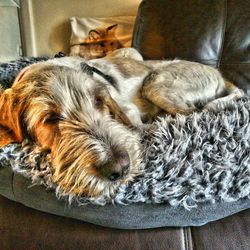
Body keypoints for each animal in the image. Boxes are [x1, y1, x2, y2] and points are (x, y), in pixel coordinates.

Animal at [0, 48, 243, 197]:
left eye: (99, 100)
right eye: (49, 118)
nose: (120, 168)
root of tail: (221, 76)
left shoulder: (128, 109)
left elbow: (136, 126)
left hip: (155, 83)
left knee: (191, 113)